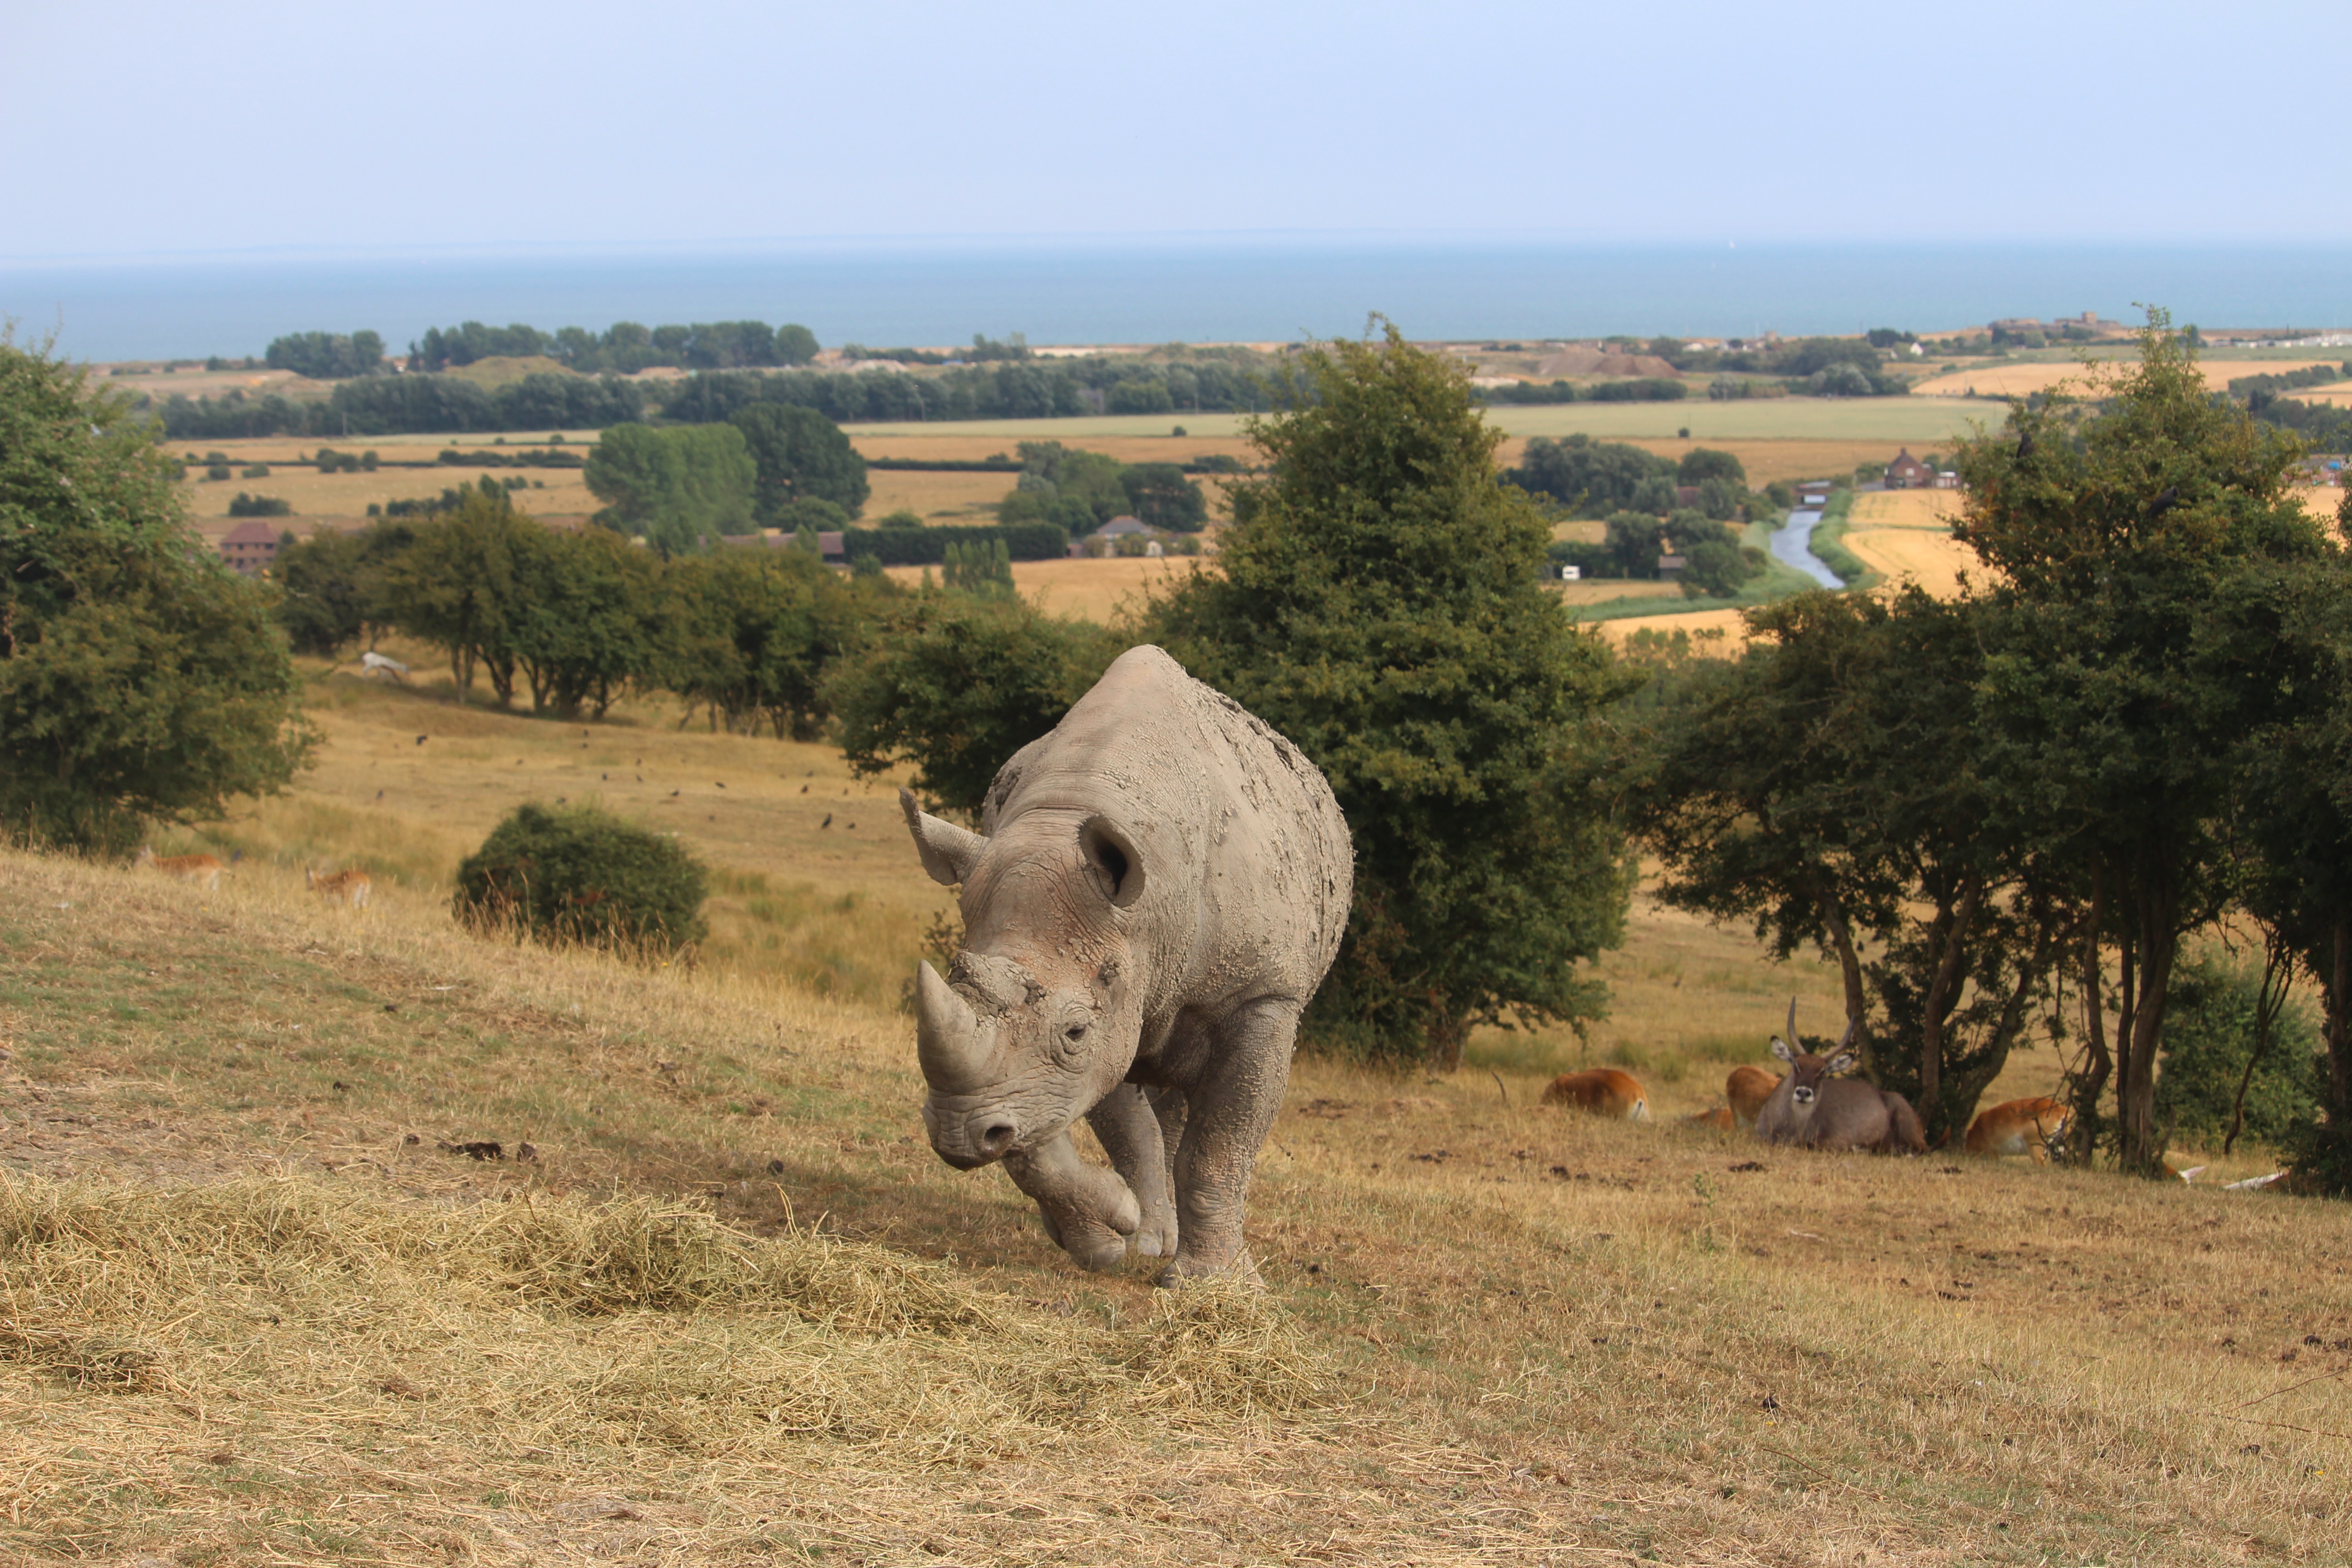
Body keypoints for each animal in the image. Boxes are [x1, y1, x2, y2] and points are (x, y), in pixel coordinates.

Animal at [899, 645, 1352, 1285]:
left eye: (1074, 1030)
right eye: (956, 979)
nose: (959, 1133)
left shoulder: (1262, 993)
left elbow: (1220, 1145)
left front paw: (1213, 1284)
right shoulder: (1104, 992)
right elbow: (1111, 1127)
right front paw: (1119, 1235)